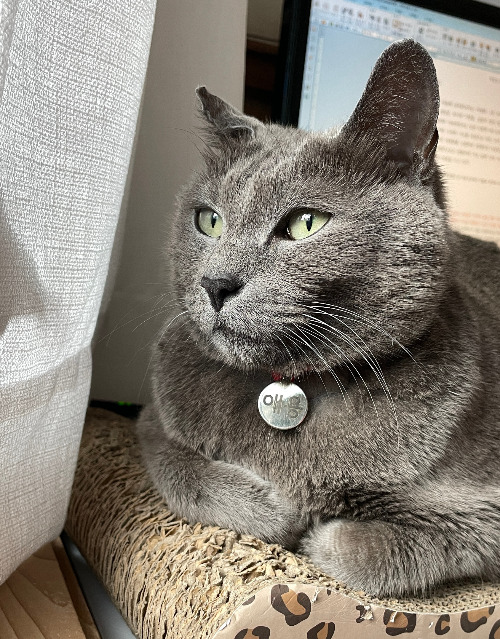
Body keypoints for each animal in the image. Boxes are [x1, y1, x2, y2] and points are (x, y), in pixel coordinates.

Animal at [137, 39, 500, 598]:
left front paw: (315, 530)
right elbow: (185, 473)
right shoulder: (152, 424)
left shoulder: (483, 508)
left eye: (306, 223)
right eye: (208, 220)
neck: (291, 387)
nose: (215, 283)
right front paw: (278, 508)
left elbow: (357, 549)